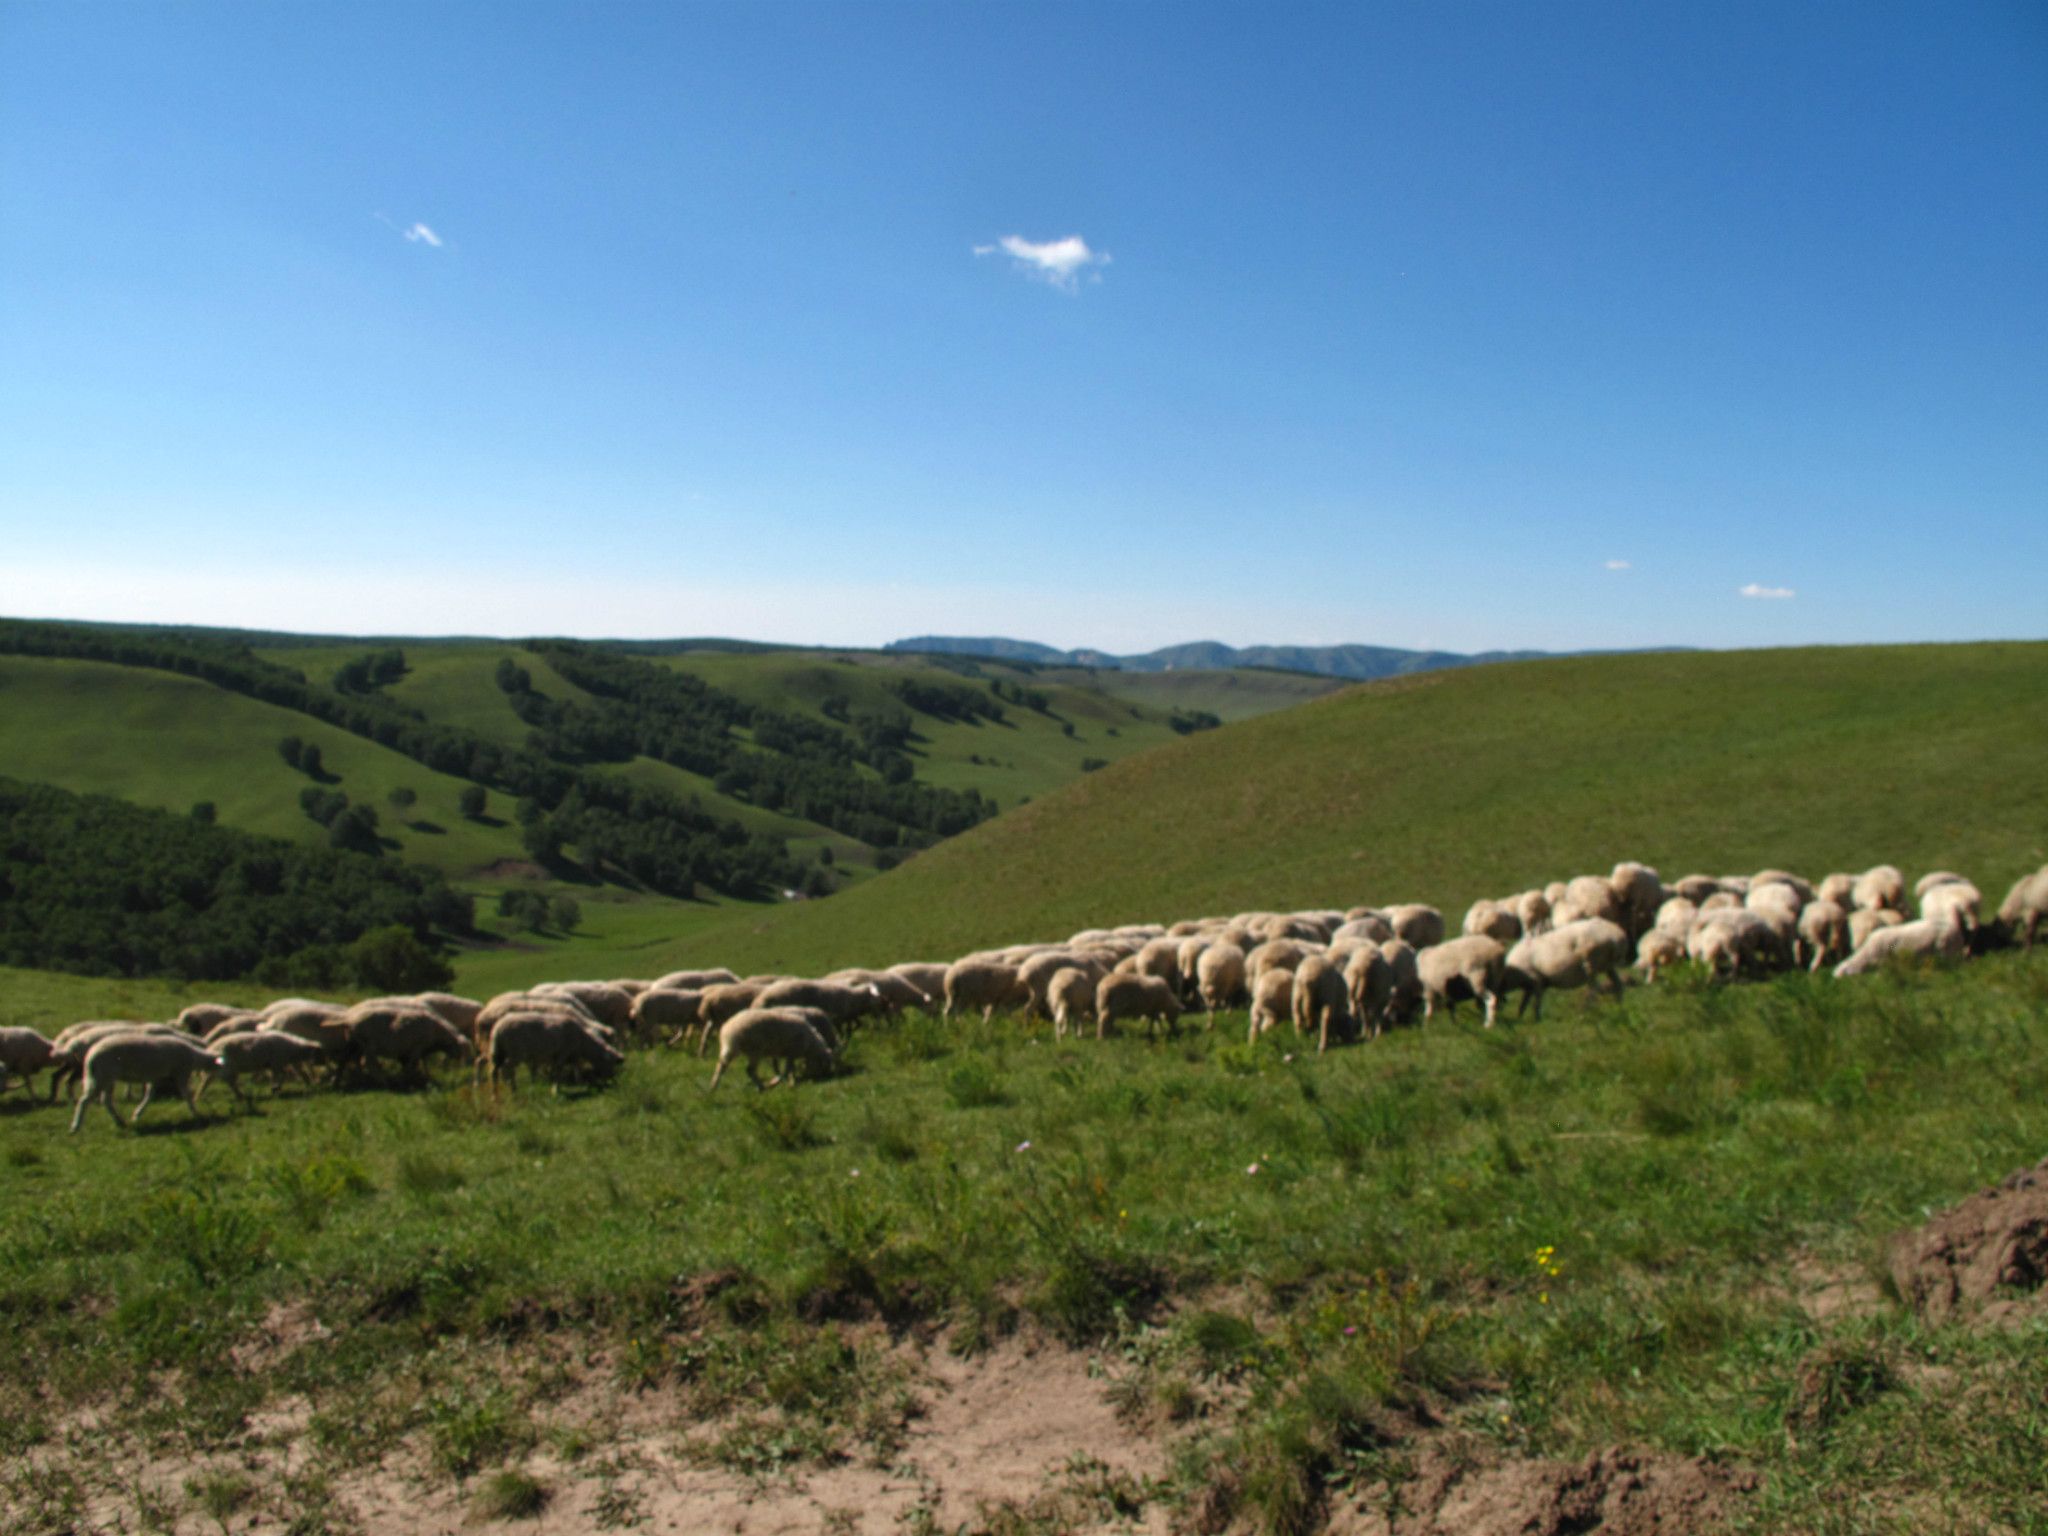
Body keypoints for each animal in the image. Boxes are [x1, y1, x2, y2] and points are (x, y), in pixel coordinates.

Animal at [69, 1036, 224, 1130]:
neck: (195, 1058)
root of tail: (90, 1058)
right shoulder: (181, 1073)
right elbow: (187, 1095)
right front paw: (197, 1114)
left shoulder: (157, 1077)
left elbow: (150, 1095)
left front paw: (137, 1114)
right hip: (102, 1077)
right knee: (84, 1101)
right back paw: (75, 1126)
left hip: (104, 1078)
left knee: (106, 1101)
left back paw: (120, 1122)